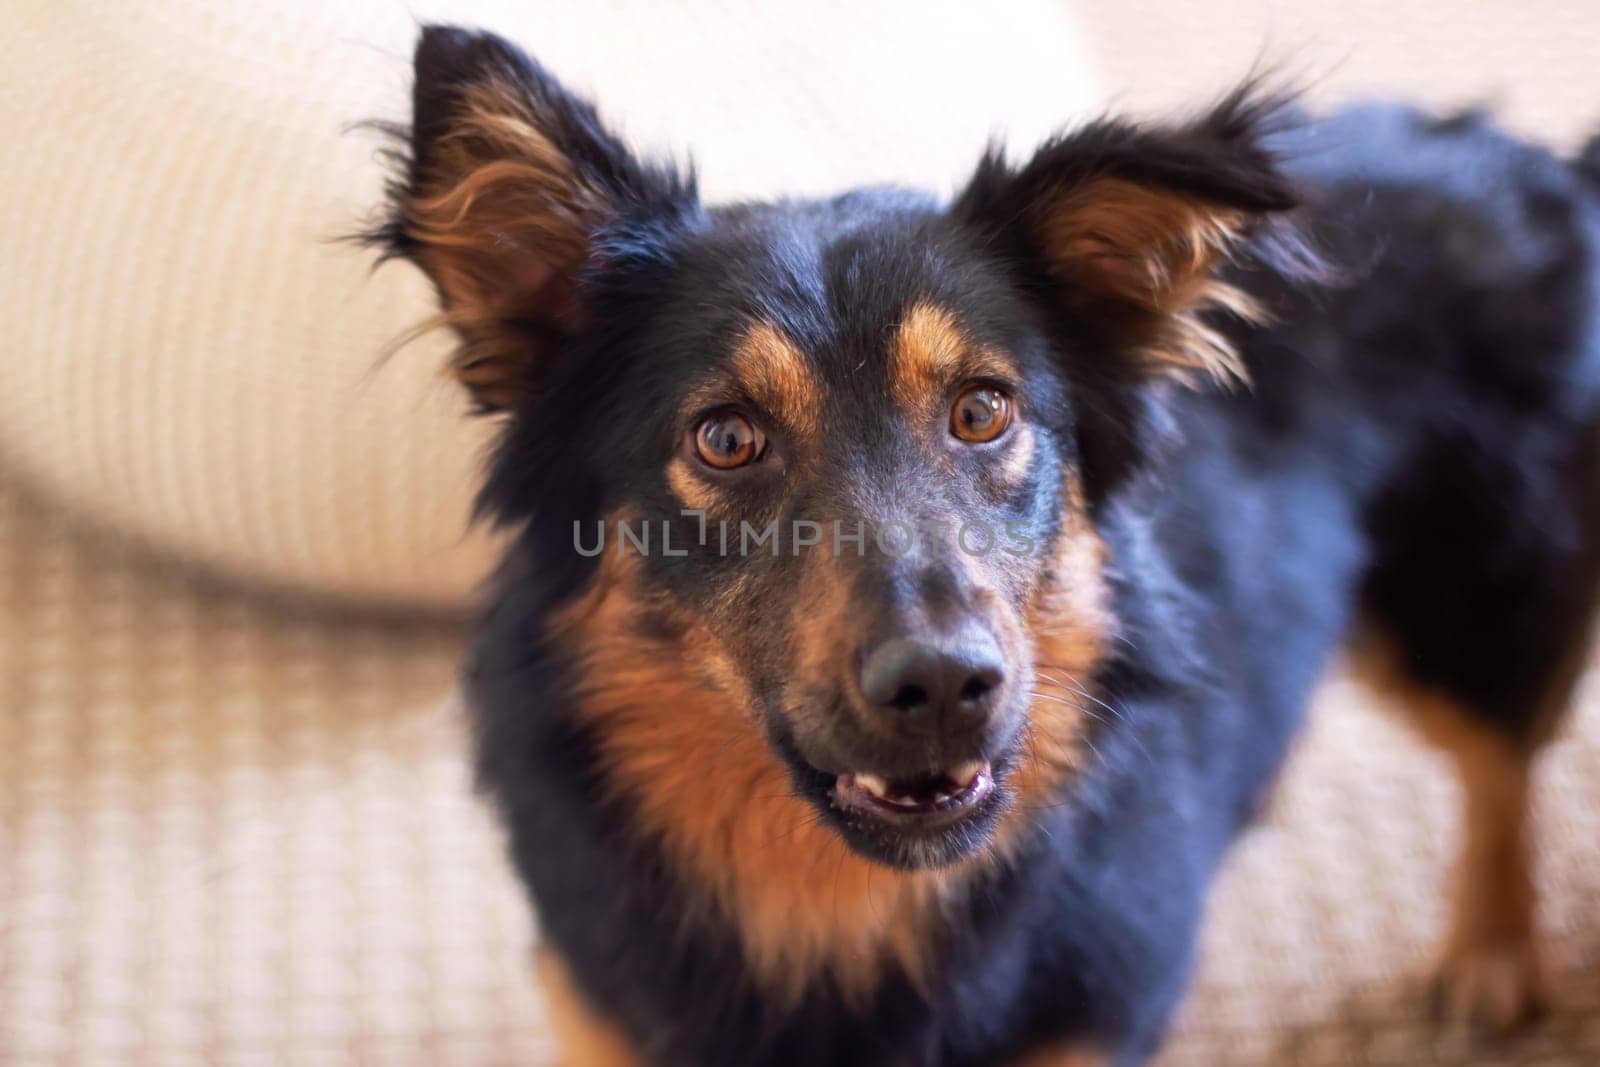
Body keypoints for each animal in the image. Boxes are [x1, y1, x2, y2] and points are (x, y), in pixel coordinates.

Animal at [366, 24, 1600, 1067]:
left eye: (981, 411)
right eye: (724, 437)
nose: (944, 684)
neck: (843, 912)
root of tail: (1524, 153)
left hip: (1460, 604)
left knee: (1501, 759)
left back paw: (1492, 956)